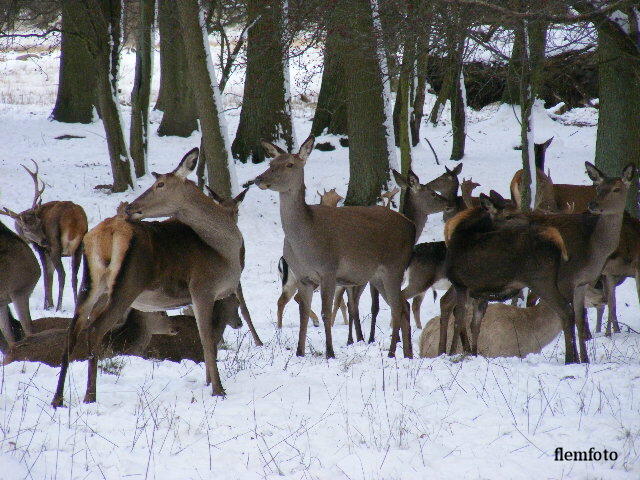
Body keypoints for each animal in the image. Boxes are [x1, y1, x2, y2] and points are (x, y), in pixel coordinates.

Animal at [0, 161, 87, 312]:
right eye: (26, 228)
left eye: (39, 222)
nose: (44, 240)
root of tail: (74, 219)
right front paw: (49, 304)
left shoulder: (42, 249)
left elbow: (47, 275)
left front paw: (48, 305)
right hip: (79, 247)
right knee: (75, 276)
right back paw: (76, 304)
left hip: (55, 245)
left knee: (62, 274)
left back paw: (58, 307)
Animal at [254, 135, 416, 356]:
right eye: (271, 163)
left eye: (290, 164)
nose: (259, 179)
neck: (305, 242)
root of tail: (412, 225)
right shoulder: (303, 277)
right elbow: (303, 312)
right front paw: (299, 352)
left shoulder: (329, 270)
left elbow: (326, 312)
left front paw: (330, 353)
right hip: (377, 276)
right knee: (403, 305)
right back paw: (408, 355)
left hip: (395, 266)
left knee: (398, 307)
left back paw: (392, 353)